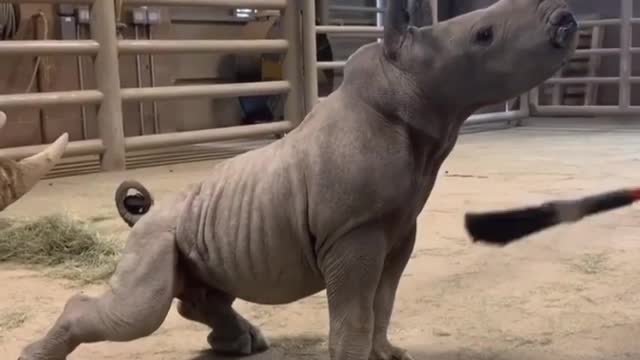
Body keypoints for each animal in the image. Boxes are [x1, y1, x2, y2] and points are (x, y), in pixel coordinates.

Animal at [21, 0, 580, 360]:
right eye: (484, 36)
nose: (565, 20)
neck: (405, 84)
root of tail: (145, 215)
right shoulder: (353, 232)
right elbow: (356, 309)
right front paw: (356, 357)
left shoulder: (400, 225)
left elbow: (384, 299)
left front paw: (389, 354)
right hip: (157, 237)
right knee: (140, 314)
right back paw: (34, 355)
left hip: (192, 230)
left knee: (202, 292)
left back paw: (242, 345)